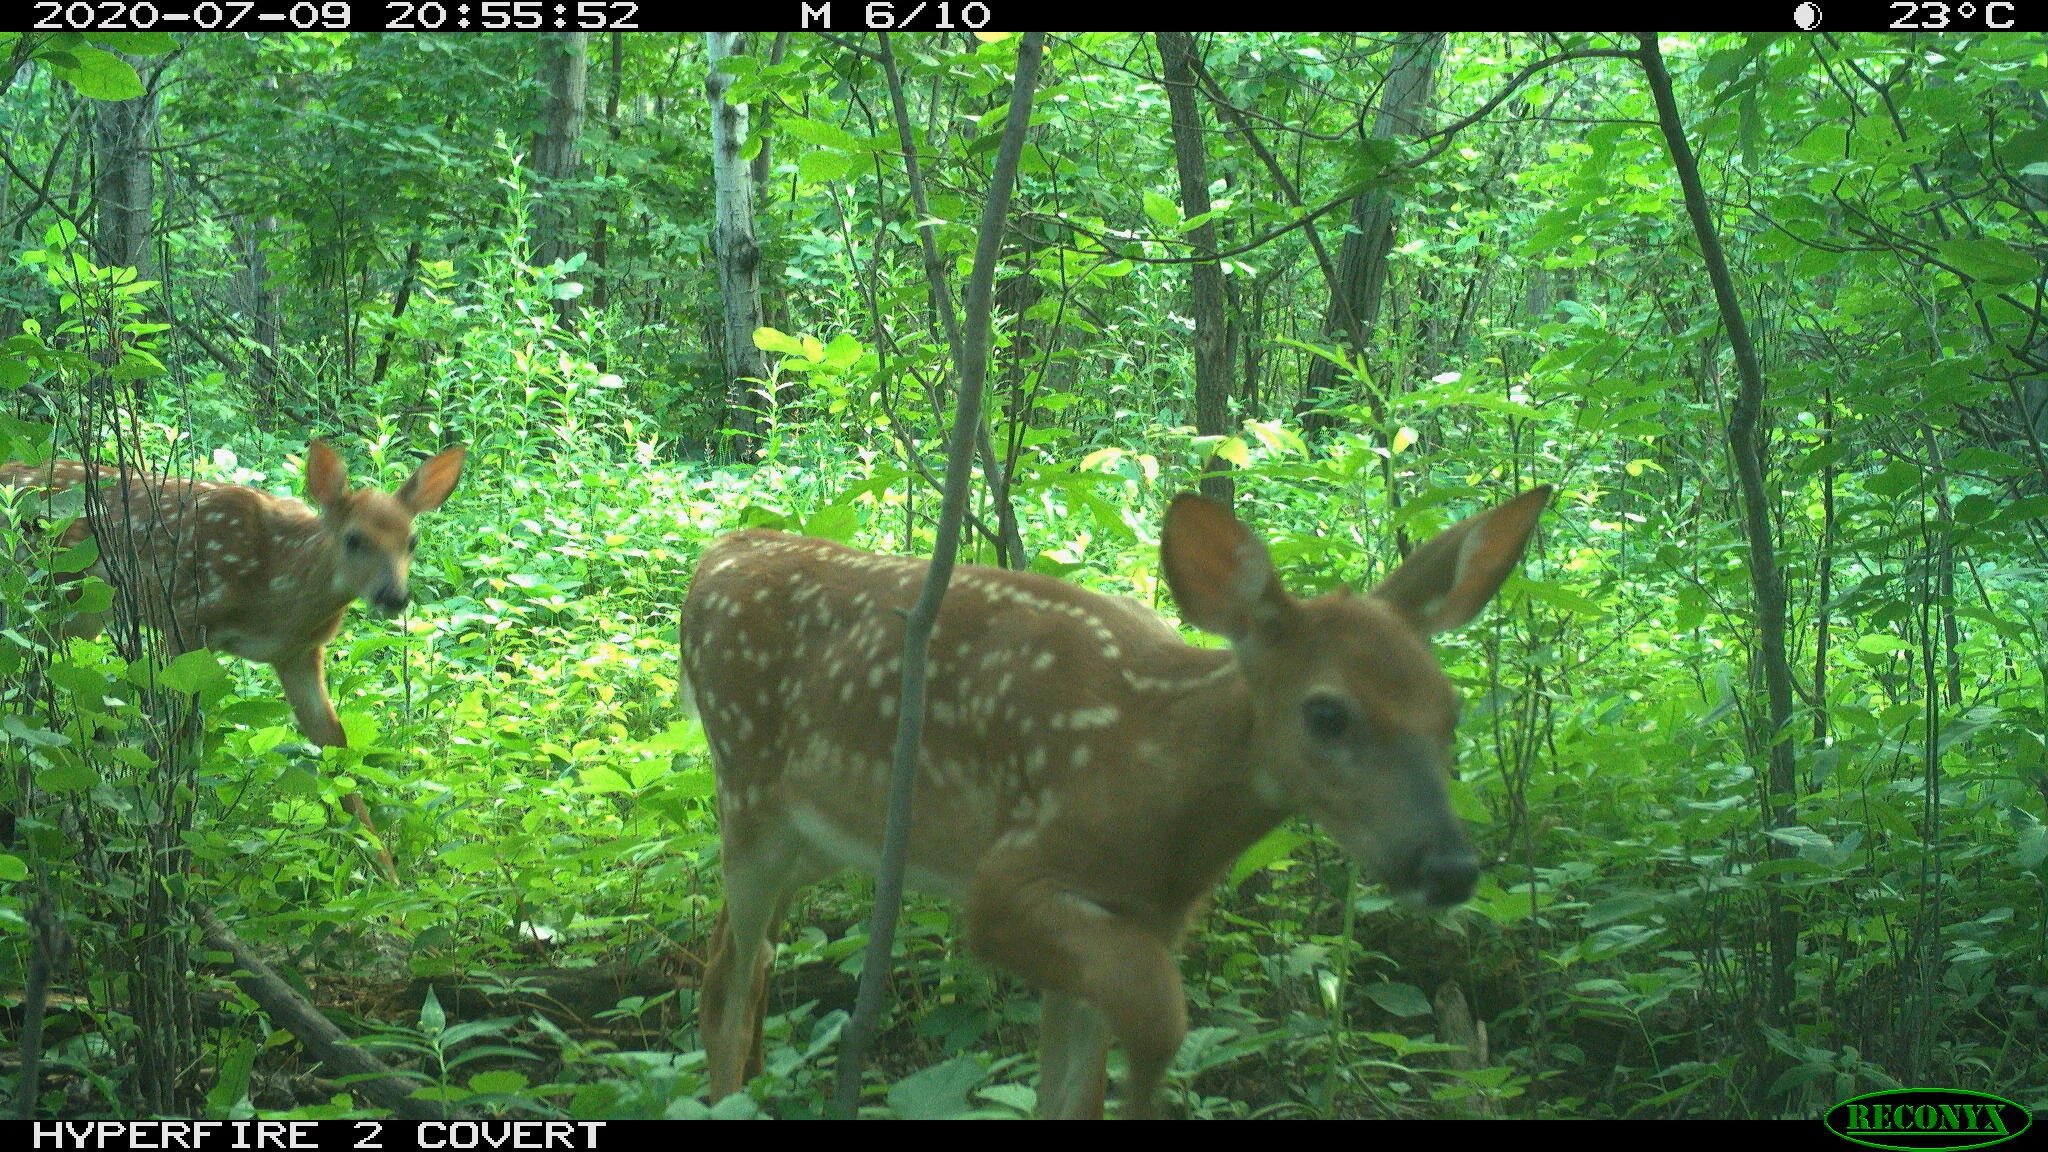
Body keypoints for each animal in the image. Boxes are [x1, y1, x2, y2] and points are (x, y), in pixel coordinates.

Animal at [1, 441, 467, 880]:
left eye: (412, 541)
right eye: (354, 539)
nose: (394, 596)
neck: (278, 589)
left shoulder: (297, 654)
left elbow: (333, 743)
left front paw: (388, 879)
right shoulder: (186, 616)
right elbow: (180, 733)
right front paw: (174, 858)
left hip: (83, 612)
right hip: (39, 588)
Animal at [680, 484, 1551, 1118]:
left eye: (1452, 711)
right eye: (1327, 713)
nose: (1449, 867)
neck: (1153, 776)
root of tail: (718, 551)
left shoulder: (1140, 915)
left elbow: (1072, 1090)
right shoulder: (1008, 880)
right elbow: (1157, 1012)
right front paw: (1148, 1087)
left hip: (813, 838)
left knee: (746, 956)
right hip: (747, 790)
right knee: (723, 983)